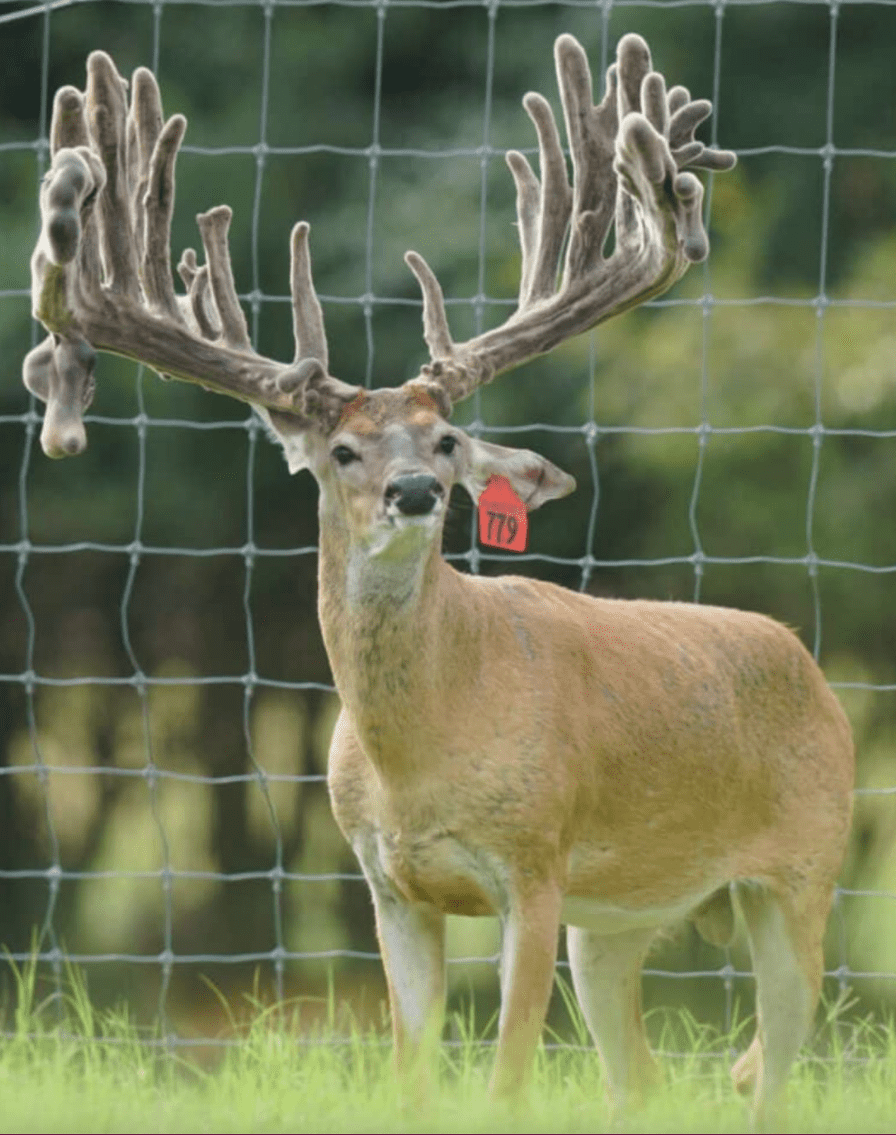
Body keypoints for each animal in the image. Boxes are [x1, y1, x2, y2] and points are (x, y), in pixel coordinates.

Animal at [23, 33, 854, 1127]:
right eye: (341, 450)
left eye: (448, 440)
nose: (416, 490)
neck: (424, 749)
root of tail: (808, 665)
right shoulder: (389, 885)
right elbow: (409, 1078)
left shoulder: (535, 866)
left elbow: (504, 1081)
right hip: (616, 922)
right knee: (644, 1075)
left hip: (803, 870)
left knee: (769, 1067)